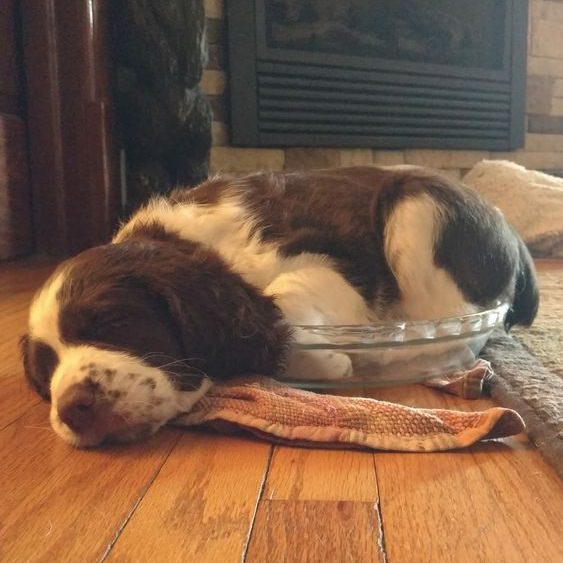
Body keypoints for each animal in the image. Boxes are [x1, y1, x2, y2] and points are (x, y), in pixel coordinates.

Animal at [19, 165, 540, 448]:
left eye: (113, 321)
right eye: (46, 378)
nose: (73, 408)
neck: (184, 243)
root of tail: (511, 232)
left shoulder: (332, 262)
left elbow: (285, 302)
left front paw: (332, 360)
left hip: (420, 210)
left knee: (450, 329)